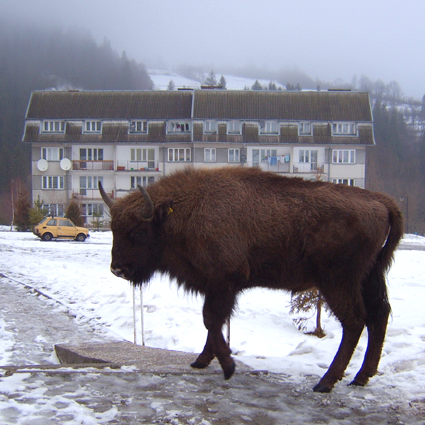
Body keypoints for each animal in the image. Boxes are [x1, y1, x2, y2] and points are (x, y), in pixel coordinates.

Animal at [98, 166, 400, 390]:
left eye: (138, 231)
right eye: (113, 228)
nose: (117, 269)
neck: (187, 208)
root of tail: (381, 201)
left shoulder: (221, 281)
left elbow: (211, 320)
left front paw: (228, 367)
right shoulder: (219, 286)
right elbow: (216, 322)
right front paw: (202, 361)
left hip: (338, 282)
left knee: (355, 321)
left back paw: (326, 382)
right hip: (370, 277)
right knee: (379, 315)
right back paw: (361, 378)